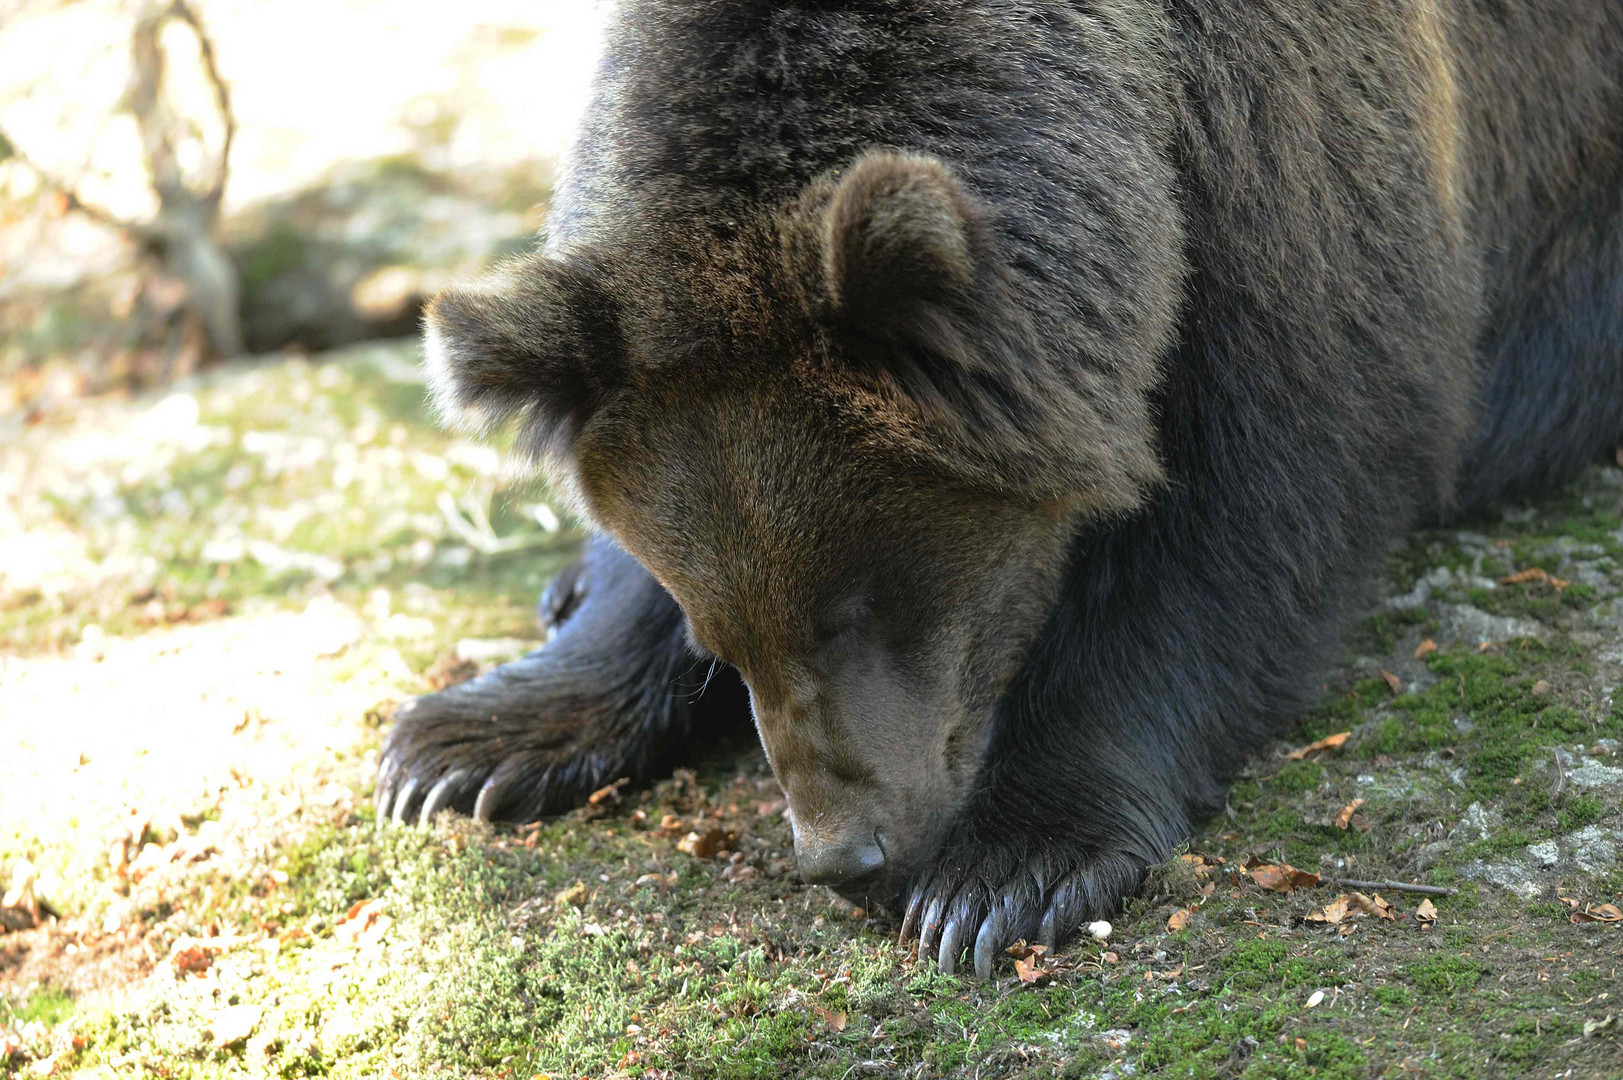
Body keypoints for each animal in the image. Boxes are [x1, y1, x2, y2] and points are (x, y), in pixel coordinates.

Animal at [376, 0, 1623, 974]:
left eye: (861, 604)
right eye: (724, 627)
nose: (846, 852)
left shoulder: (1283, 155)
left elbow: (1259, 497)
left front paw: (1002, 868)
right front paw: (464, 745)